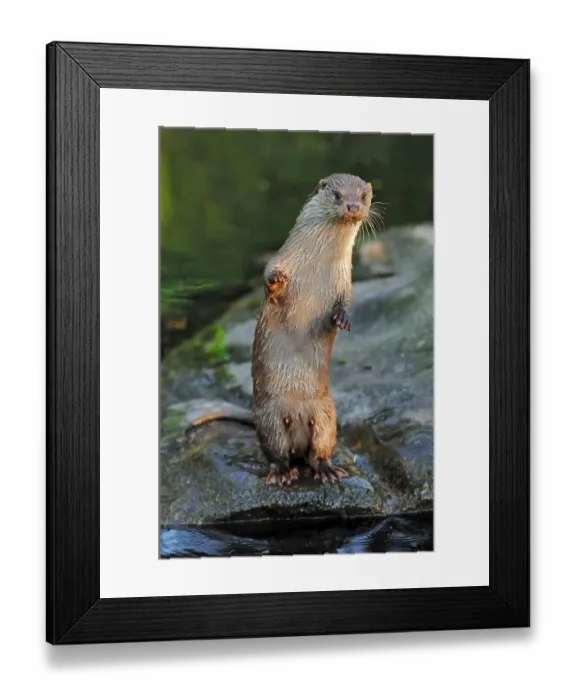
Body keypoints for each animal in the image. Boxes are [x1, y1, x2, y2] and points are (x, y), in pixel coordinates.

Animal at [186, 173, 373, 487]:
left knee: (318, 451)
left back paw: (327, 469)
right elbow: (270, 283)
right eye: (337, 195)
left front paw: (343, 319)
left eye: (363, 196)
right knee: (278, 454)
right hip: (270, 418)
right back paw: (283, 472)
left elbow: (346, 301)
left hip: (327, 414)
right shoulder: (282, 260)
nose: (352, 206)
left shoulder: (345, 279)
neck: (316, 266)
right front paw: (274, 282)